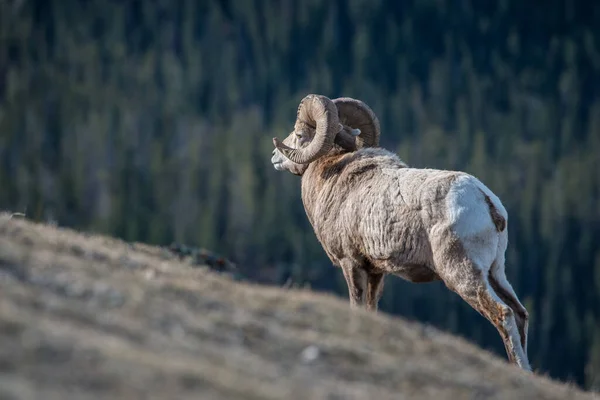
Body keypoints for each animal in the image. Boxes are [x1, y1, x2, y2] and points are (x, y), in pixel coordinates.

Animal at [270, 92, 528, 370]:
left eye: (299, 134)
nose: (274, 156)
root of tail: (487, 201)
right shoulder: (375, 272)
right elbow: (370, 309)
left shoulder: (351, 264)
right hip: (496, 273)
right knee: (520, 314)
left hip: (463, 274)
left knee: (503, 314)